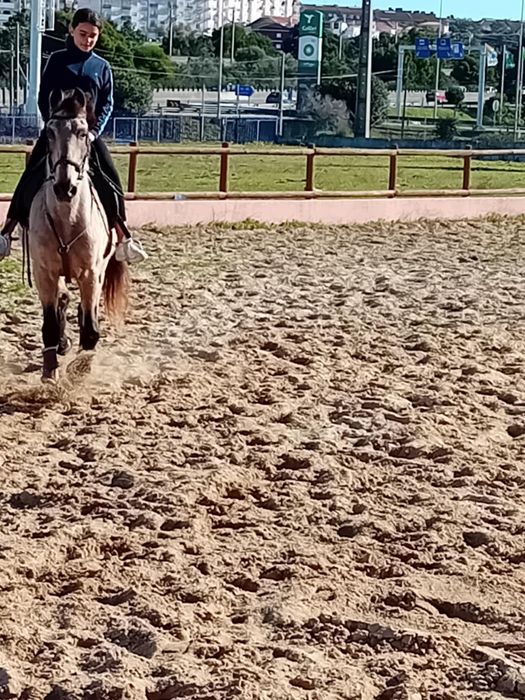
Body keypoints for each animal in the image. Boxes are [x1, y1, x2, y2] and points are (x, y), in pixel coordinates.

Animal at [27, 88, 129, 381]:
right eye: (50, 132)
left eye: (83, 133)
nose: (65, 187)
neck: (67, 218)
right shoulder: (44, 272)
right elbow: (50, 324)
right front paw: (50, 372)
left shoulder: (91, 274)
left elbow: (91, 328)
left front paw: (81, 369)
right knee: (62, 300)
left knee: (84, 310)